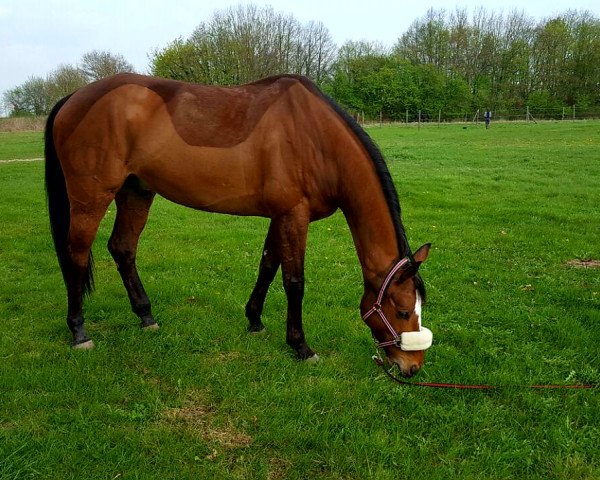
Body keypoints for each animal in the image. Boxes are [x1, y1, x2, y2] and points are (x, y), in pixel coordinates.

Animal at [44, 73, 434, 376]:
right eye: (401, 311)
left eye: (418, 308)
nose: (412, 367)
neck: (315, 137)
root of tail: (74, 98)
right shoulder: (294, 215)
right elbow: (294, 282)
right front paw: (301, 347)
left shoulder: (281, 215)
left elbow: (267, 266)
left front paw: (254, 320)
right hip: (92, 196)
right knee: (76, 253)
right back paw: (79, 331)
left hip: (136, 190)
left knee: (123, 248)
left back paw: (146, 316)